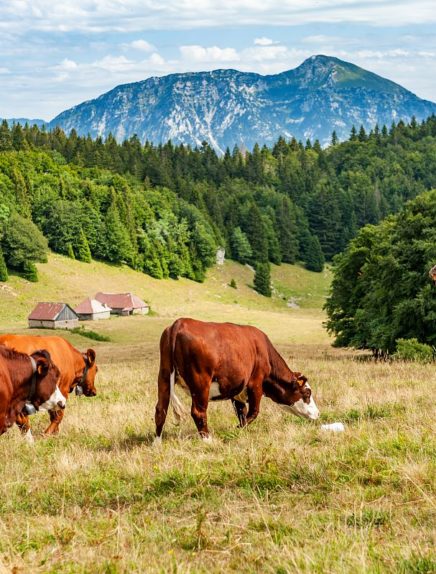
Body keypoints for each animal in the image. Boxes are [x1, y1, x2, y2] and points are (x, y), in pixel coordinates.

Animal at [155, 320, 318, 446]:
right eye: (307, 393)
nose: (318, 413)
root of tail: (179, 323)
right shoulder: (256, 384)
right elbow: (253, 412)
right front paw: (237, 430)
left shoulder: (236, 390)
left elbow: (242, 412)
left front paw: (241, 432)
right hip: (200, 382)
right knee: (198, 412)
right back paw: (208, 441)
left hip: (164, 376)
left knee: (160, 409)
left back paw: (157, 443)